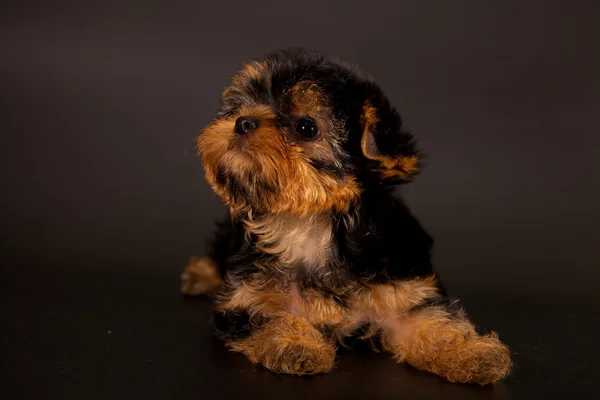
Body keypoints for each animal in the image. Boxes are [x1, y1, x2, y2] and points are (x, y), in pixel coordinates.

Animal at [182, 47, 510, 384]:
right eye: (239, 105)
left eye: (306, 127)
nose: (243, 121)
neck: (309, 225)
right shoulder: (246, 299)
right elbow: (271, 315)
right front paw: (294, 343)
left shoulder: (403, 287)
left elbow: (430, 320)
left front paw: (470, 352)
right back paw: (201, 274)